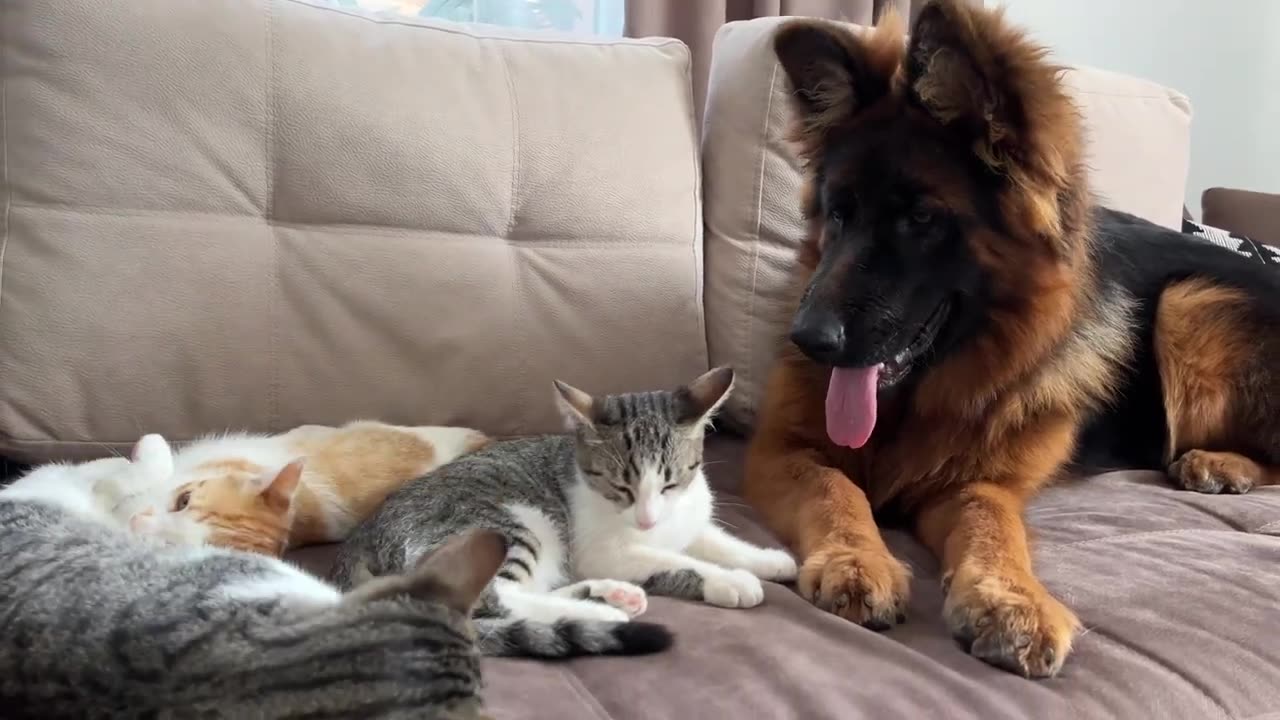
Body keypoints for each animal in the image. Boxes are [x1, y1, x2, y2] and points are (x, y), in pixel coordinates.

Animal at [330, 366, 788, 653]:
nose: (647, 519)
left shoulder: (686, 518)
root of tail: (359, 542)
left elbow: (715, 541)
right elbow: (673, 559)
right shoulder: (601, 550)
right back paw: (601, 612)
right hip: (512, 524)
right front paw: (729, 581)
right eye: (620, 487)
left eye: (671, 482)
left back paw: (612, 595)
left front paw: (769, 560)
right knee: (500, 597)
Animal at [747, 0, 1280, 676]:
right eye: (838, 213)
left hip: (1190, 304)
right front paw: (855, 559)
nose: (808, 339)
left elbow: (992, 522)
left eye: (921, 218)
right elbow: (833, 488)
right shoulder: (784, 450)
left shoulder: (978, 482)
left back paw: (1220, 462)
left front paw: (1013, 600)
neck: (918, 399)